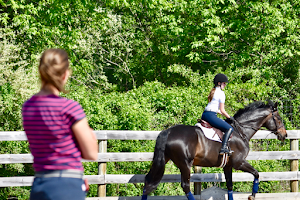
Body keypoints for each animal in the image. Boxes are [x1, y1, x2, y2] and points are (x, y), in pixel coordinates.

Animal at [142, 101, 288, 200]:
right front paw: (252, 196)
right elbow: (257, 174)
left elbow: (229, 185)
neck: (241, 131)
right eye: (279, 118)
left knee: (148, 181)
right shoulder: (239, 163)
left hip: (164, 160)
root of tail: (168, 131)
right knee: (185, 186)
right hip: (185, 164)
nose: (284, 135)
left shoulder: (228, 166)